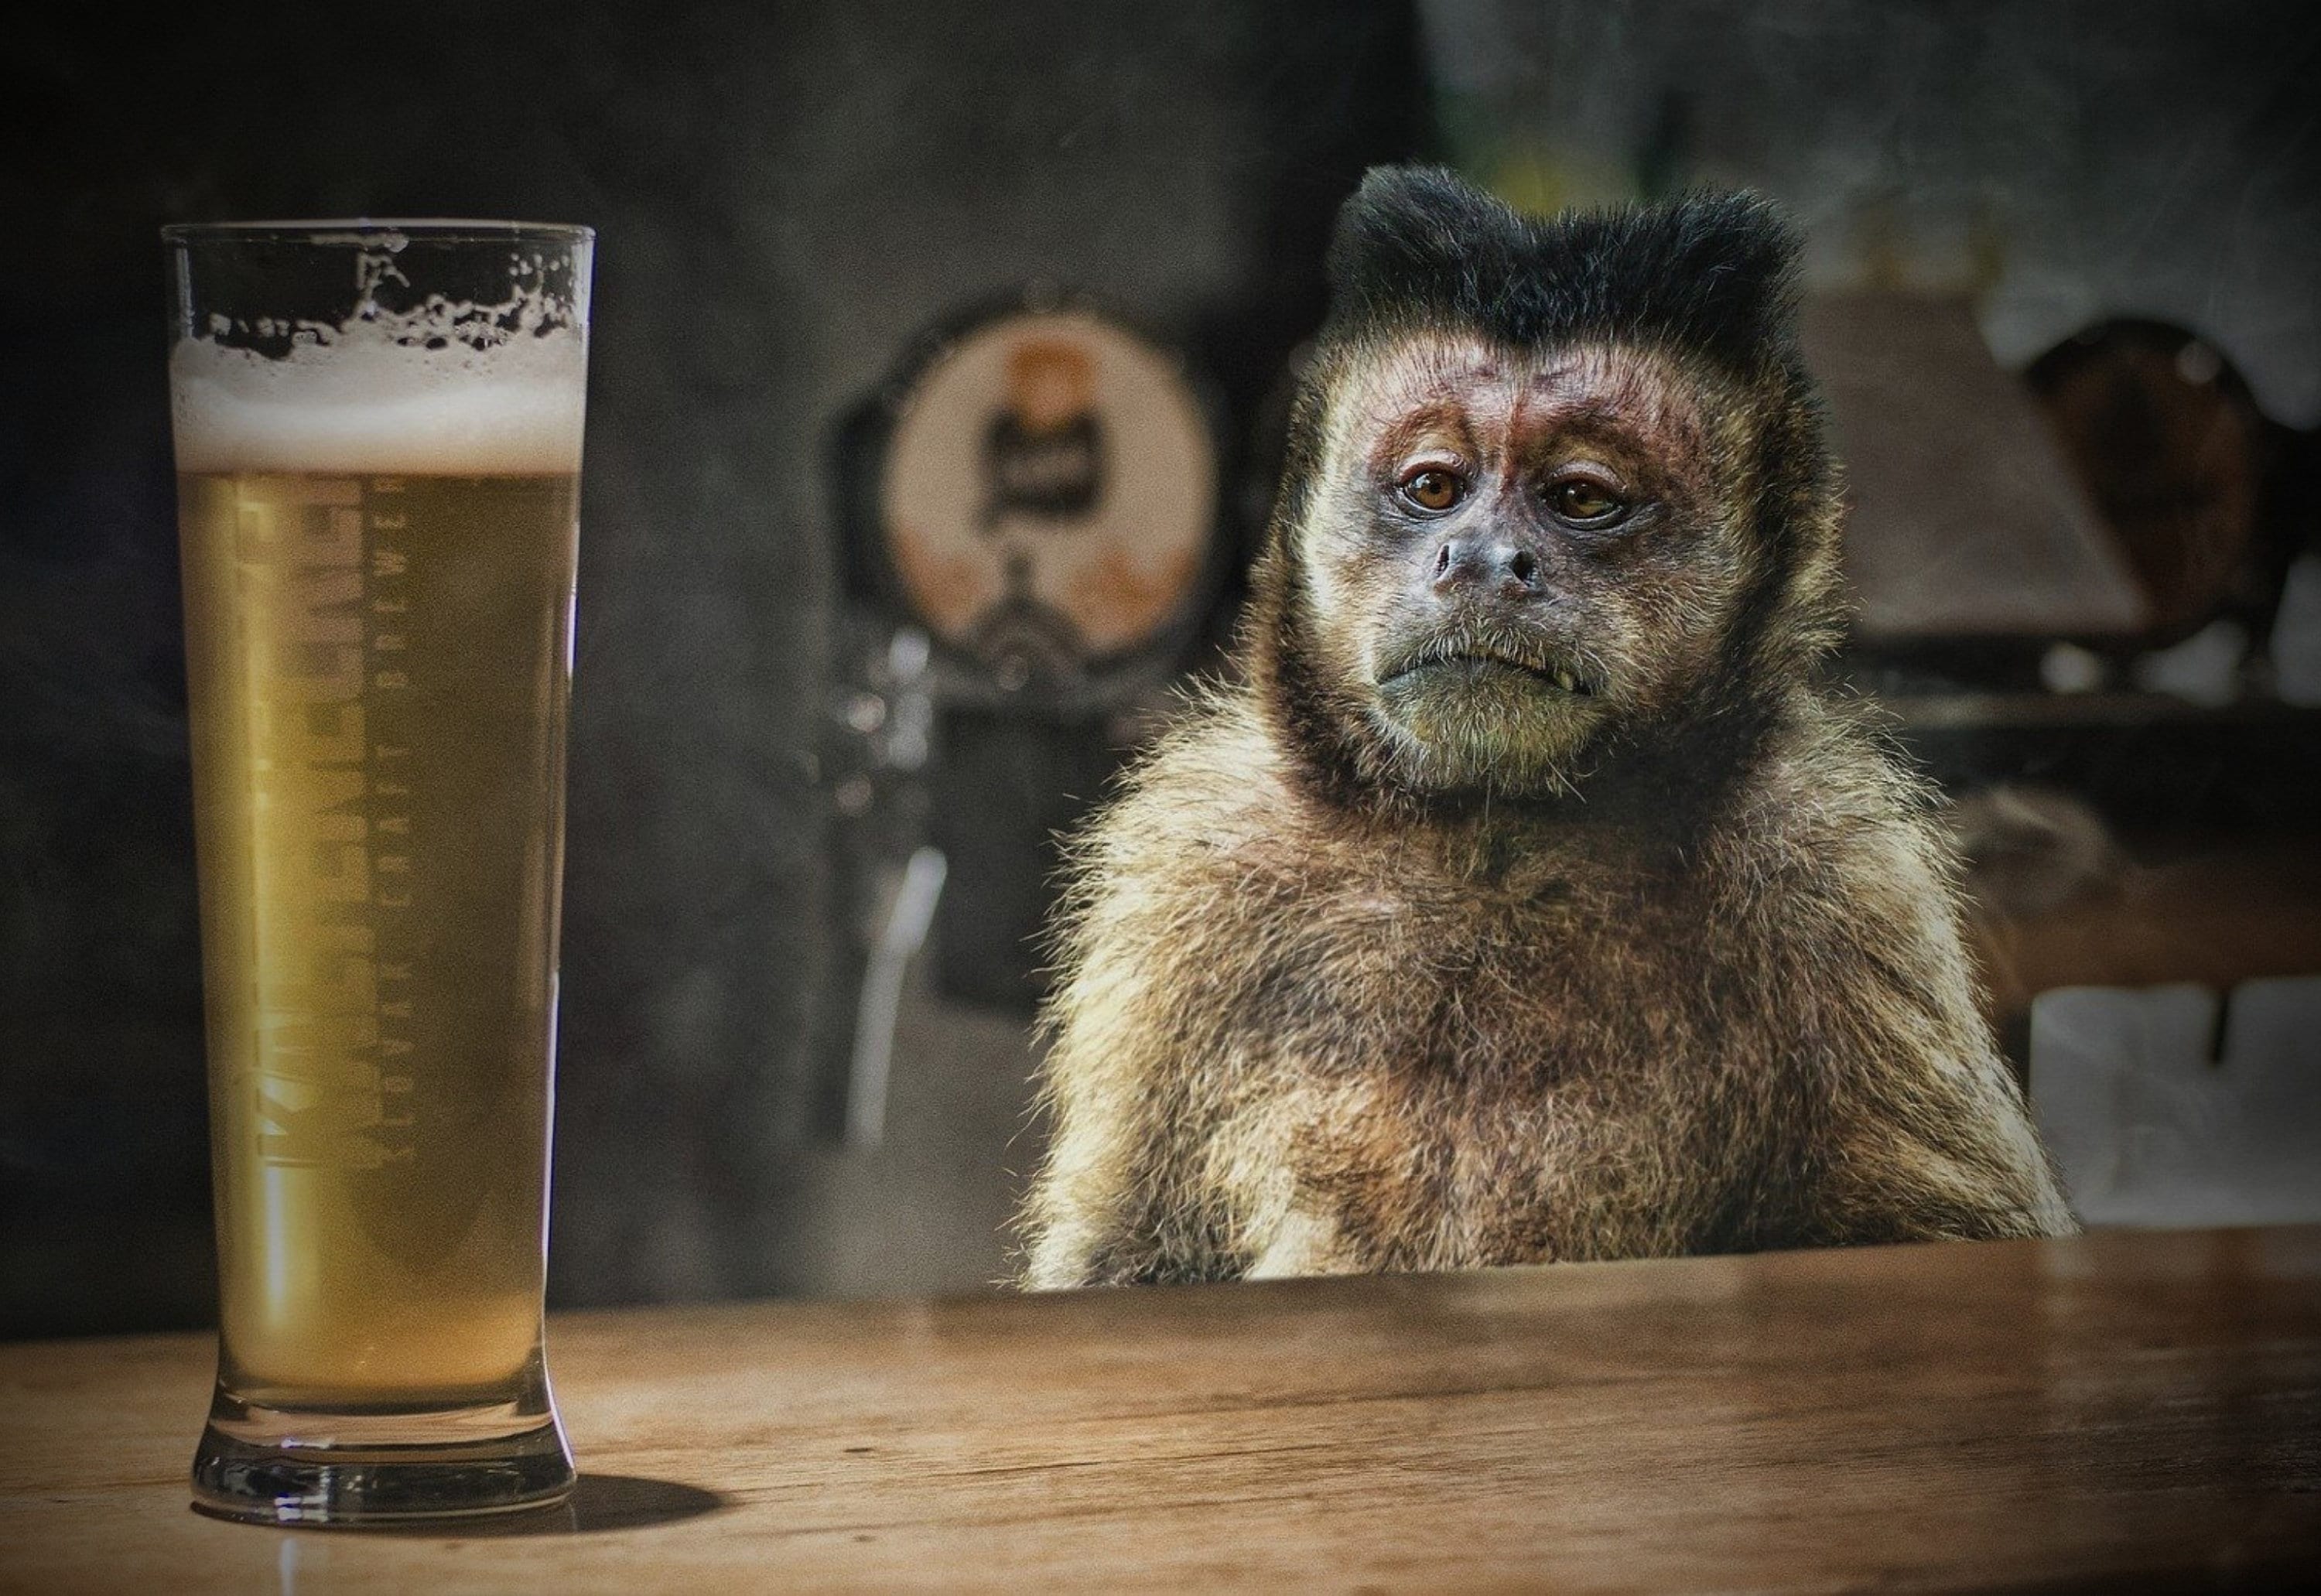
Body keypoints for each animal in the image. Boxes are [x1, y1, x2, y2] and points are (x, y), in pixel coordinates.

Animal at [1014, 166, 2077, 1290]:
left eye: (1580, 498)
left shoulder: (1842, 882)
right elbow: (1126, 1257)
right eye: (1434, 486)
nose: (1482, 558)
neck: (1490, 848)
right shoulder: (1192, 878)